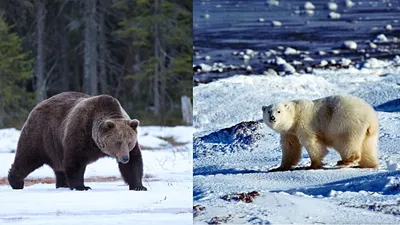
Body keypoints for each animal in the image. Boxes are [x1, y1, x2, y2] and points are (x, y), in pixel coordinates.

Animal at [7, 92, 147, 191]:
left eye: (129, 142)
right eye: (117, 142)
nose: (124, 158)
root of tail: (38, 105)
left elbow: (134, 163)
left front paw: (139, 186)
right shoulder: (80, 132)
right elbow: (75, 161)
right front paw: (82, 186)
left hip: (55, 147)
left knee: (59, 166)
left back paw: (62, 184)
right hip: (41, 136)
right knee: (27, 158)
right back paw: (16, 182)